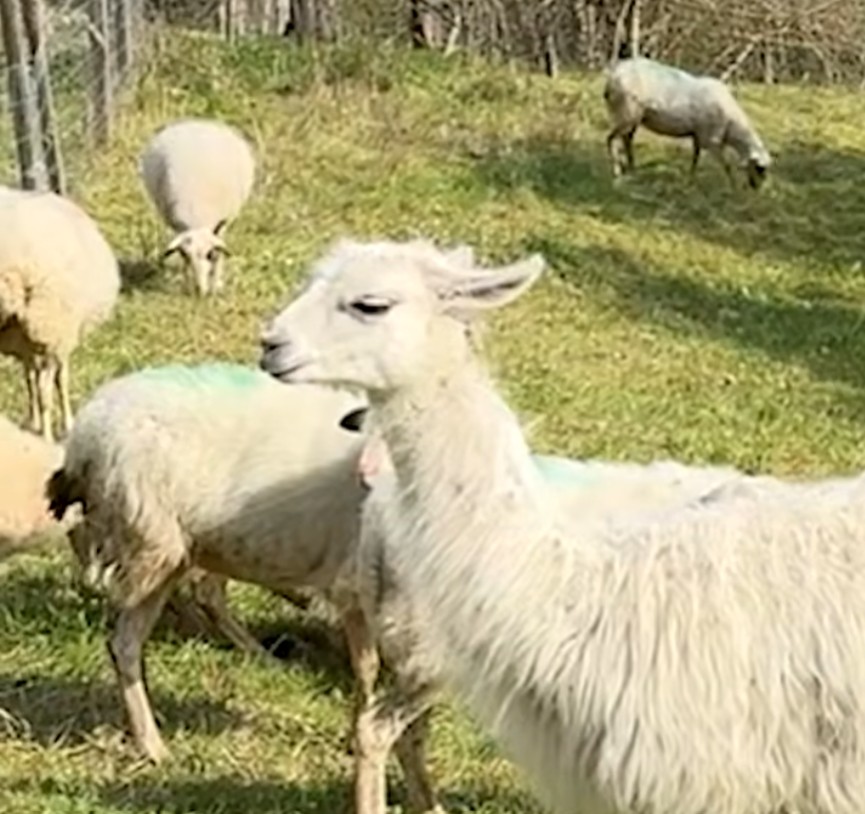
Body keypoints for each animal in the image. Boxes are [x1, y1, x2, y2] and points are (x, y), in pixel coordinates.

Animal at [0, 188, 120, 441]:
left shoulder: (32, 345)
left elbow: (30, 380)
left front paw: (33, 423)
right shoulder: (56, 340)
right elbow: (59, 381)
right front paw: (66, 424)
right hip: (49, 326)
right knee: (46, 390)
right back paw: (47, 436)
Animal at [140, 118, 256, 296]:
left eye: (210, 254)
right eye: (186, 256)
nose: (199, 291)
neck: (199, 219)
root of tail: (197, 122)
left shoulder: (221, 226)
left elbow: (220, 256)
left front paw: (215, 287)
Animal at [603, 56, 772, 189]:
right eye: (760, 168)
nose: (757, 188)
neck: (732, 127)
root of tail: (613, 75)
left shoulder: (697, 135)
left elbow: (695, 158)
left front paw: (690, 181)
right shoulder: (710, 140)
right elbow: (726, 165)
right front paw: (733, 186)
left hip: (634, 118)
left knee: (626, 139)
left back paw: (633, 169)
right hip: (626, 113)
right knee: (611, 139)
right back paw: (617, 172)